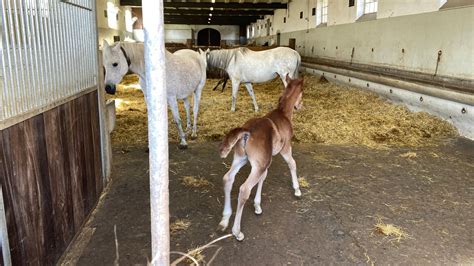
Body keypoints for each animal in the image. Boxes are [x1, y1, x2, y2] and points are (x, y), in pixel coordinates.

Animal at [218, 75, 304, 241]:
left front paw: (257, 206)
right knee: (244, 189)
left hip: (241, 159)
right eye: (303, 93)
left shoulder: (265, 161)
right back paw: (237, 231)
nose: (300, 106)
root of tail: (246, 131)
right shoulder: (285, 148)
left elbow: (263, 177)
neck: (284, 113)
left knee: (227, 178)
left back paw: (225, 219)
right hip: (256, 164)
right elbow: (292, 163)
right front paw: (297, 189)